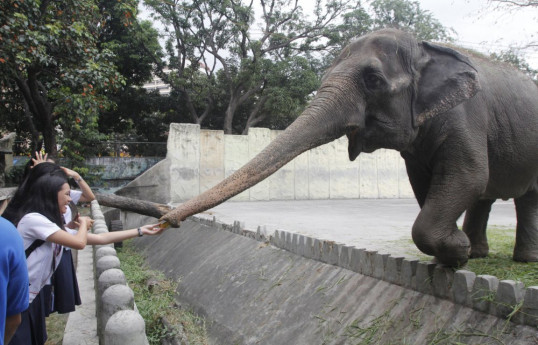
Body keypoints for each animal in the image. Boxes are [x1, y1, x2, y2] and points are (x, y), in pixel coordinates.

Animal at [160, 28, 536, 266]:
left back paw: (518, 259)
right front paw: (458, 253)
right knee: (488, 196)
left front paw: (456, 254)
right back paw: (482, 254)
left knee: (521, 195)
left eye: (373, 80)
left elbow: (468, 175)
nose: (164, 220)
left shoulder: (466, 116)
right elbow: (427, 183)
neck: (424, 47)